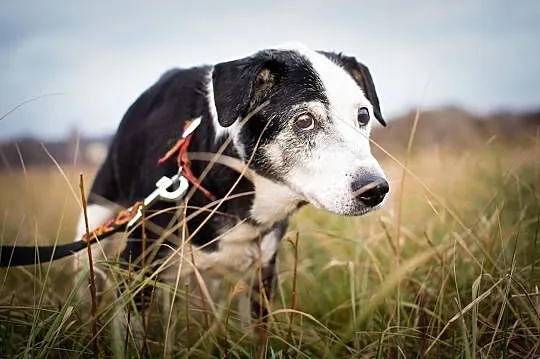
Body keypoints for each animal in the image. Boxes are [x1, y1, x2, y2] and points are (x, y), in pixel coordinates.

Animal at [71, 43, 388, 334]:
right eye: (304, 120)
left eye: (363, 115)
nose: (375, 189)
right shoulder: (137, 264)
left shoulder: (262, 271)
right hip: (97, 218)